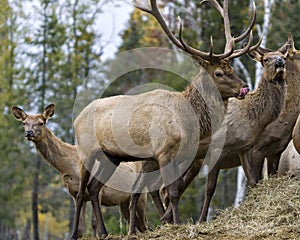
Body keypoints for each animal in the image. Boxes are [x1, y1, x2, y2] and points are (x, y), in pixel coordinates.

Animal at [11, 104, 148, 238]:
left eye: (41, 123)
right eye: (24, 123)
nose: (29, 133)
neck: (69, 169)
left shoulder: (101, 192)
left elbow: (93, 222)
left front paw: (99, 235)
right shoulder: (74, 193)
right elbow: (81, 228)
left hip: (143, 195)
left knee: (144, 223)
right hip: (123, 201)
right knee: (137, 222)